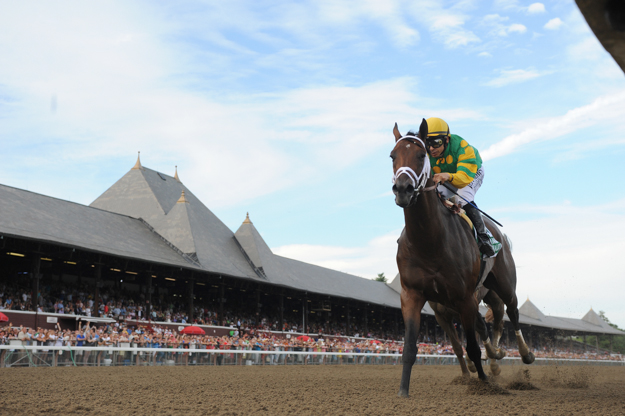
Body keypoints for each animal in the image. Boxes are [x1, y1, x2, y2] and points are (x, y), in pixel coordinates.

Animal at [390, 119, 532, 396]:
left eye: (421, 155)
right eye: (392, 156)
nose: (403, 189)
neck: (429, 242)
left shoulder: (465, 298)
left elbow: (473, 347)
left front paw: (485, 384)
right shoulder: (414, 296)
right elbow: (411, 348)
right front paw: (402, 391)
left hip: (503, 285)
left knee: (511, 313)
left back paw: (523, 354)